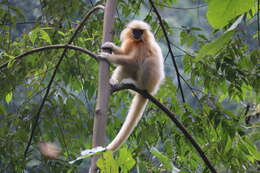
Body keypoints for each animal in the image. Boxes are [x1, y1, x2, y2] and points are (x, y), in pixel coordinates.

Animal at [99, 19, 165, 151]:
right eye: (135, 31)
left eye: (140, 31)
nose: (137, 35)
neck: (137, 42)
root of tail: (151, 90)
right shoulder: (132, 42)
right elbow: (125, 53)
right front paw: (111, 46)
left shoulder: (143, 46)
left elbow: (134, 61)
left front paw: (108, 56)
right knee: (125, 67)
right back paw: (113, 82)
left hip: (148, 81)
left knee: (146, 61)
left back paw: (137, 85)